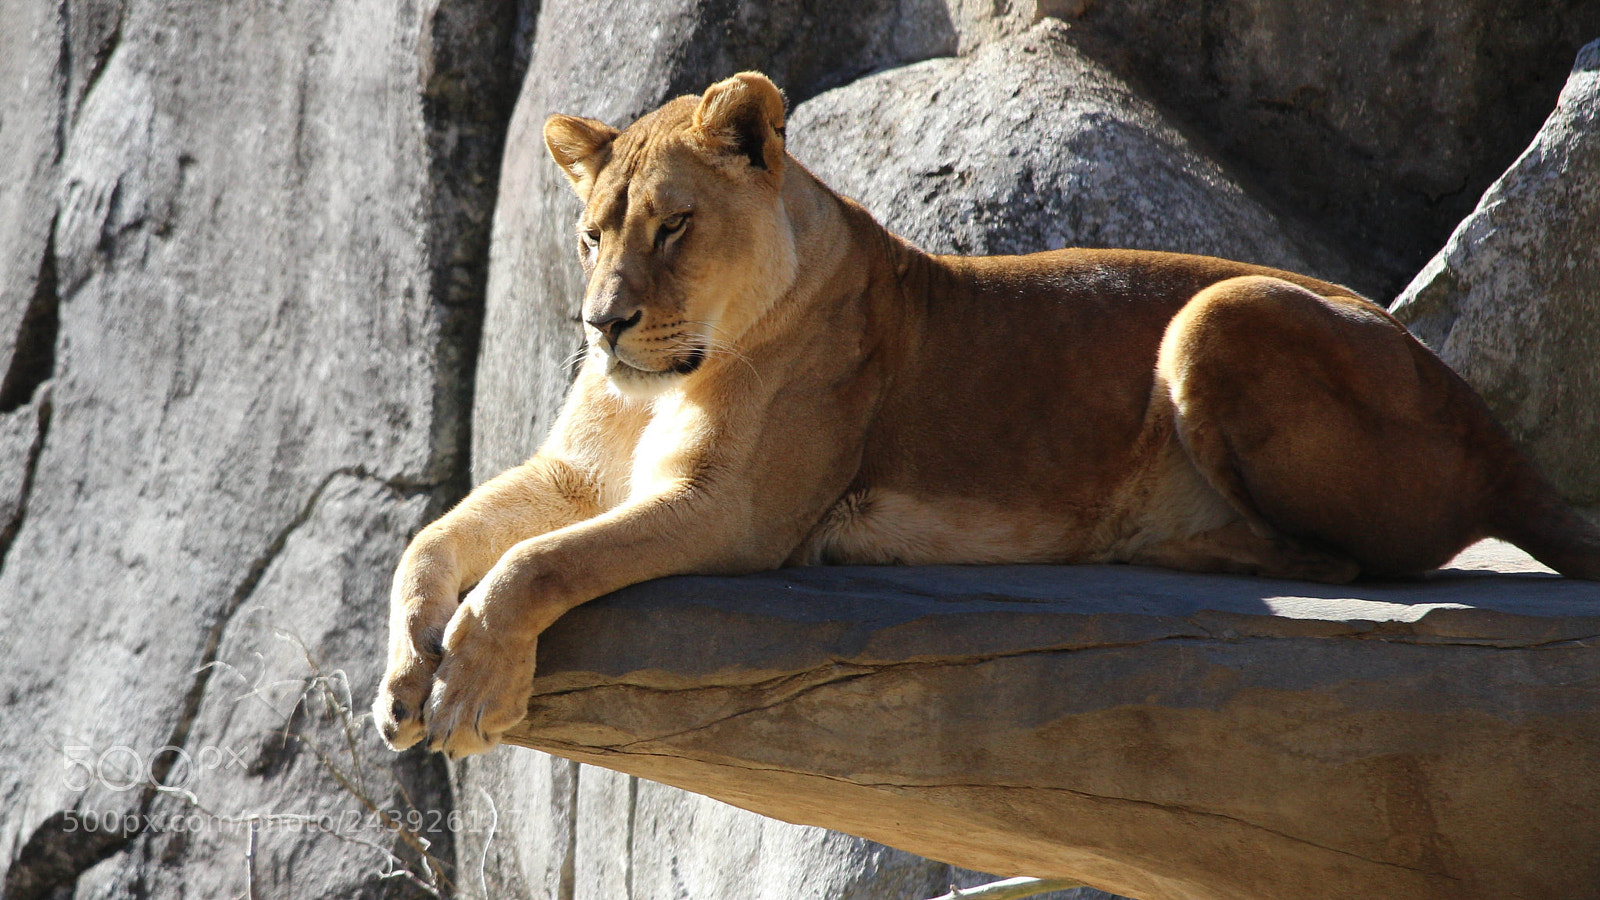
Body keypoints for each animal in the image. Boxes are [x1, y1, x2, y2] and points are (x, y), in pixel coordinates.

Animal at [375, 72, 1600, 758]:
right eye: (591, 234)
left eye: (672, 226)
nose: (602, 324)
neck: (661, 384)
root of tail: (1495, 428)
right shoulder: (578, 477)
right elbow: (432, 540)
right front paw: (400, 680)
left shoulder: (734, 516)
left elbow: (535, 564)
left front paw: (472, 688)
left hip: (1221, 311)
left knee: (1350, 562)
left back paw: (1168, 548)